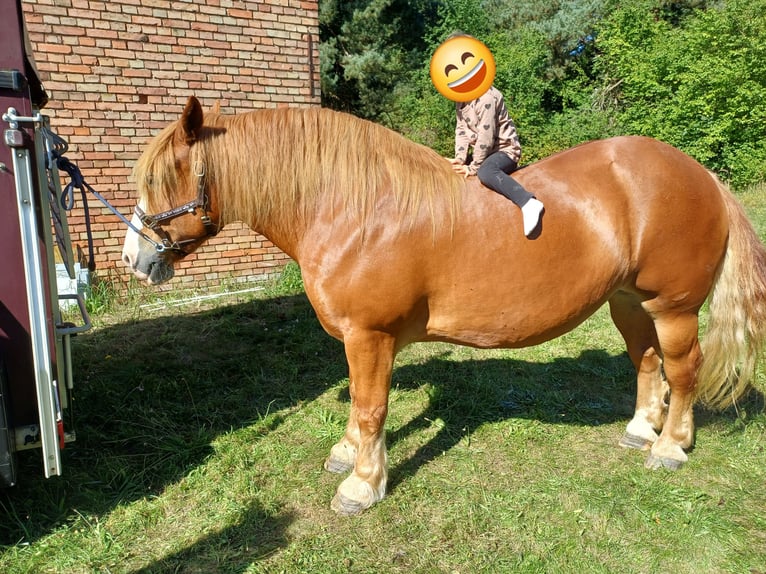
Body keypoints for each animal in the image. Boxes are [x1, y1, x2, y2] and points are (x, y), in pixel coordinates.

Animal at [121, 96, 766, 515]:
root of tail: (702, 175)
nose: (134, 259)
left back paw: (671, 446)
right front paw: (348, 456)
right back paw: (640, 429)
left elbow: (371, 408)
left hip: (673, 306)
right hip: (629, 303)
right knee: (648, 363)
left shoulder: (370, 335)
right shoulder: (362, 340)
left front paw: (362, 486)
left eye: (159, 179)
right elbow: (360, 403)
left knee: (683, 369)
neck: (353, 207)